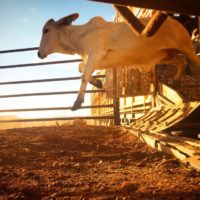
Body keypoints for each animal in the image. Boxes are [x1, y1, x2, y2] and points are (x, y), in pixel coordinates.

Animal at [37, 13, 200, 110]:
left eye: (46, 30)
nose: (38, 54)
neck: (80, 36)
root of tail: (175, 21)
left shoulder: (96, 54)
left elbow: (83, 74)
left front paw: (77, 101)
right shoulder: (96, 60)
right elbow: (81, 68)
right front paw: (98, 82)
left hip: (187, 47)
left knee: (194, 62)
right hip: (165, 55)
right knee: (181, 60)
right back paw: (176, 81)